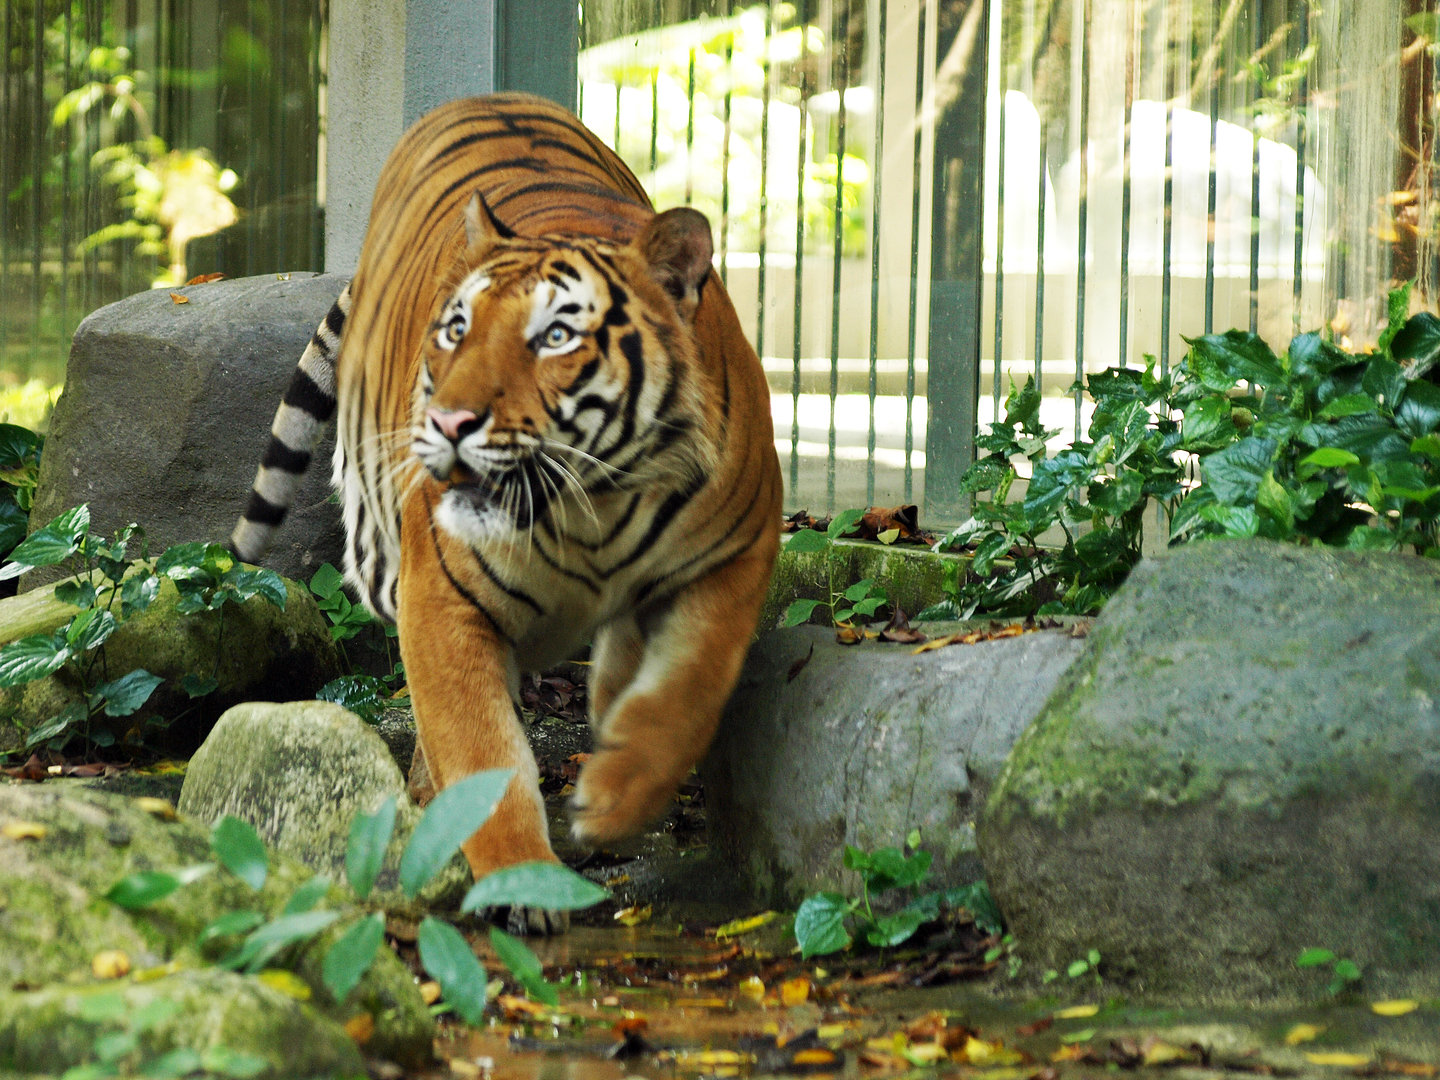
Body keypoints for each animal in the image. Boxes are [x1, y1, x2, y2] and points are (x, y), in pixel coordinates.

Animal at [231, 93, 782, 932]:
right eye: (456, 329)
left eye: (555, 336)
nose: (450, 422)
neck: (595, 503)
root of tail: (485, 96)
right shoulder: (441, 597)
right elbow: (483, 750)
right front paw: (525, 882)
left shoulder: (734, 556)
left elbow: (688, 692)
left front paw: (614, 800)